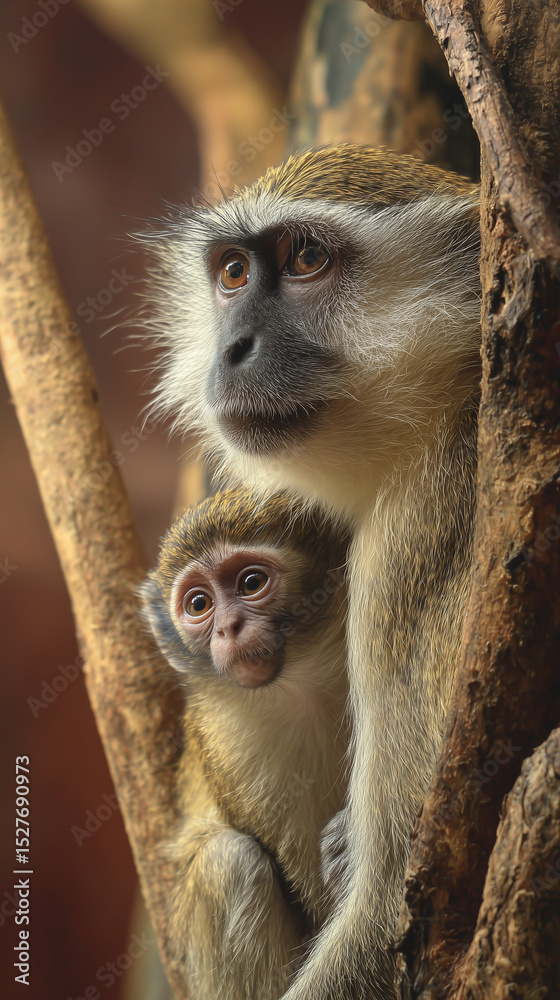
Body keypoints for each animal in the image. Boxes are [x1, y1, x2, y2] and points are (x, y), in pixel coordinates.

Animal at [140, 487, 352, 1000]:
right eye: (199, 604)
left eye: (251, 582)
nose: (228, 628)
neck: (305, 688)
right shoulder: (226, 744)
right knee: (228, 861)